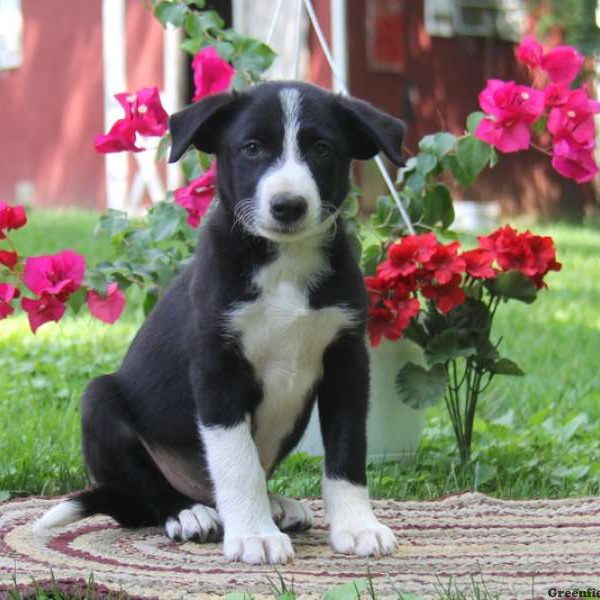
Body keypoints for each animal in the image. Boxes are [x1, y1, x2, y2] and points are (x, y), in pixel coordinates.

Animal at [35, 79, 406, 564]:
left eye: (322, 148)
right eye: (252, 148)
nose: (288, 205)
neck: (284, 263)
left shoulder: (347, 360)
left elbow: (347, 451)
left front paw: (357, 526)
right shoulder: (218, 366)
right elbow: (236, 460)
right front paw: (254, 535)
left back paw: (276, 505)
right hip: (99, 402)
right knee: (150, 493)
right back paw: (188, 513)